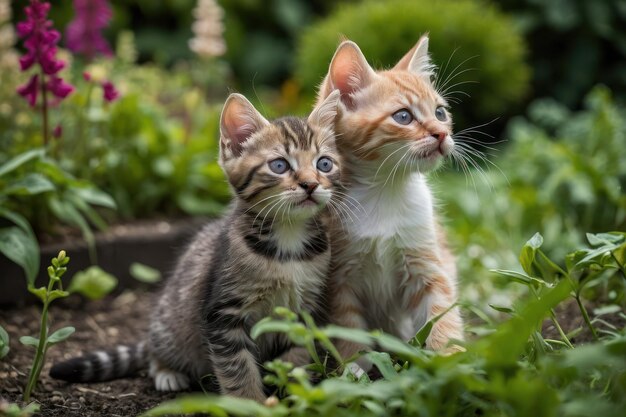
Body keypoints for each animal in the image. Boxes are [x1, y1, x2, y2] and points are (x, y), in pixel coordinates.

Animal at [50, 91, 342, 400]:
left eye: (324, 164)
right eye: (279, 165)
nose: (311, 184)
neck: (289, 240)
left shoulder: (303, 312)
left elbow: (298, 354)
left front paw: (297, 392)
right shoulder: (223, 314)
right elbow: (238, 369)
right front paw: (250, 403)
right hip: (170, 323)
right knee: (155, 349)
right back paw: (166, 372)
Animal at [316, 35, 464, 368]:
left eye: (440, 113)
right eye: (403, 116)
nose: (441, 134)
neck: (386, 190)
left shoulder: (426, 263)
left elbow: (442, 311)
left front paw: (452, 360)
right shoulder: (340, 279)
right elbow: (348, 327)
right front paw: (354, 369)